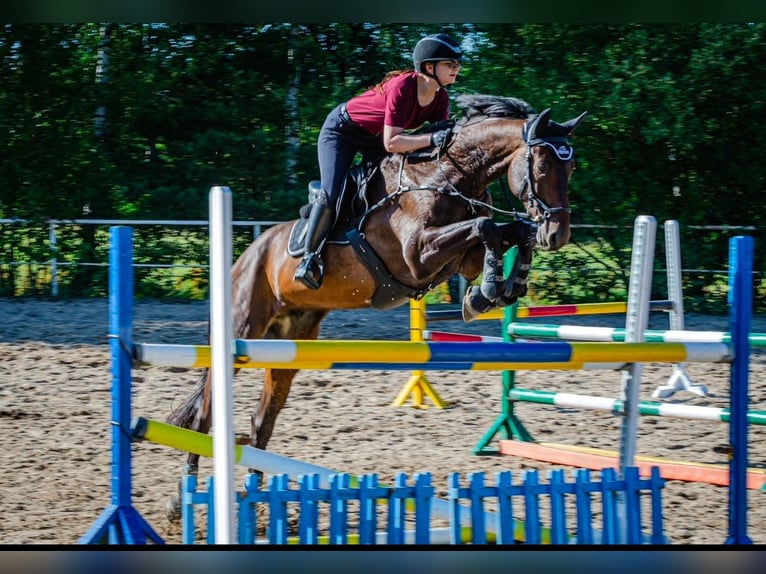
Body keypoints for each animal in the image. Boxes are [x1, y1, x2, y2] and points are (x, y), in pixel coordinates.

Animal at [163, 93, 587, 520]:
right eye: (543, 165)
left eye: (570, 168)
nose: (557, 235)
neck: (446, 177)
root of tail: (244, 259)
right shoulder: (418, 256)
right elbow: (486, 227)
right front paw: (485, 292)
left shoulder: (459, 259)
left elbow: (509, 232)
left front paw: (498, 289)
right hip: (241, 331)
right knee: (205, 416)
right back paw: (179, 501)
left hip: (287, 346)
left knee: (261, 420)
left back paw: (256, 501)